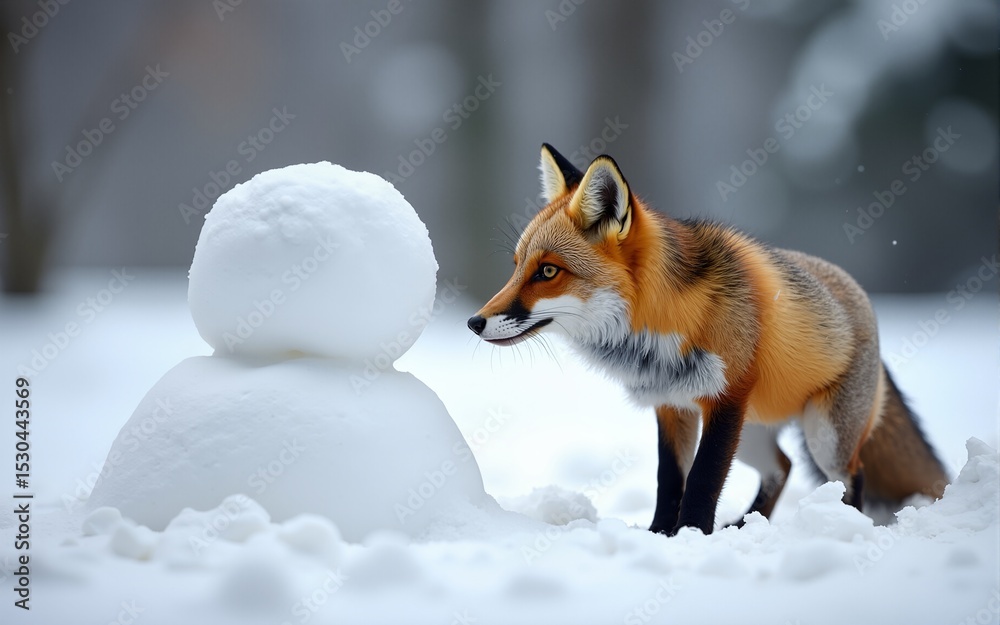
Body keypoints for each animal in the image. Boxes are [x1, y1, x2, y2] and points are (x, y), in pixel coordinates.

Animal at [468, 143, 949, 535]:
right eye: (516, 266)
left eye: (548, 271)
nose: (474, 322)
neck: (659, 330)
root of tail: (860, 296)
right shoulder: (672, 404)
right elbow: (669, 480)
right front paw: (660, 534)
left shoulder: (726, 398)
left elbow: (703, 479)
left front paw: (691, 535)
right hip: (754, 434)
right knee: (783, 466)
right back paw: (744, 526)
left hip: (824, 437)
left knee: (852, 474)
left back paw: (842, 522)